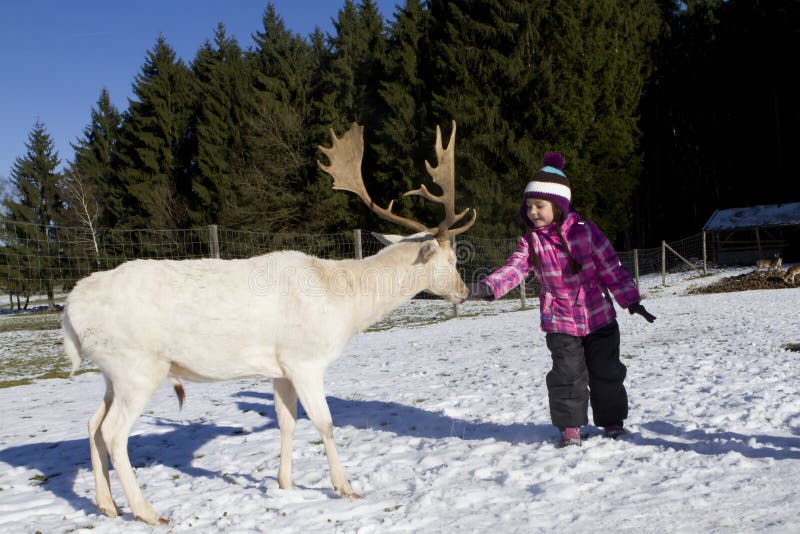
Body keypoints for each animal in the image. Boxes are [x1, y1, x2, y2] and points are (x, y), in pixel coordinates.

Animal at [64, 120, 476, 524]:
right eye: (452, 259)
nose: (464, 291)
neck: (343, 305)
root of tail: (70, 309)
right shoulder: (305, 360)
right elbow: (324, 423)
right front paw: (346, 487)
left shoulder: (280, 368)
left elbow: (287, 421)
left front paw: (285, 484)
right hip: (137, 368)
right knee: (114, 433)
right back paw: (148, 512)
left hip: (111, 373)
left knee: (92, 424)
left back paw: (106, 504)